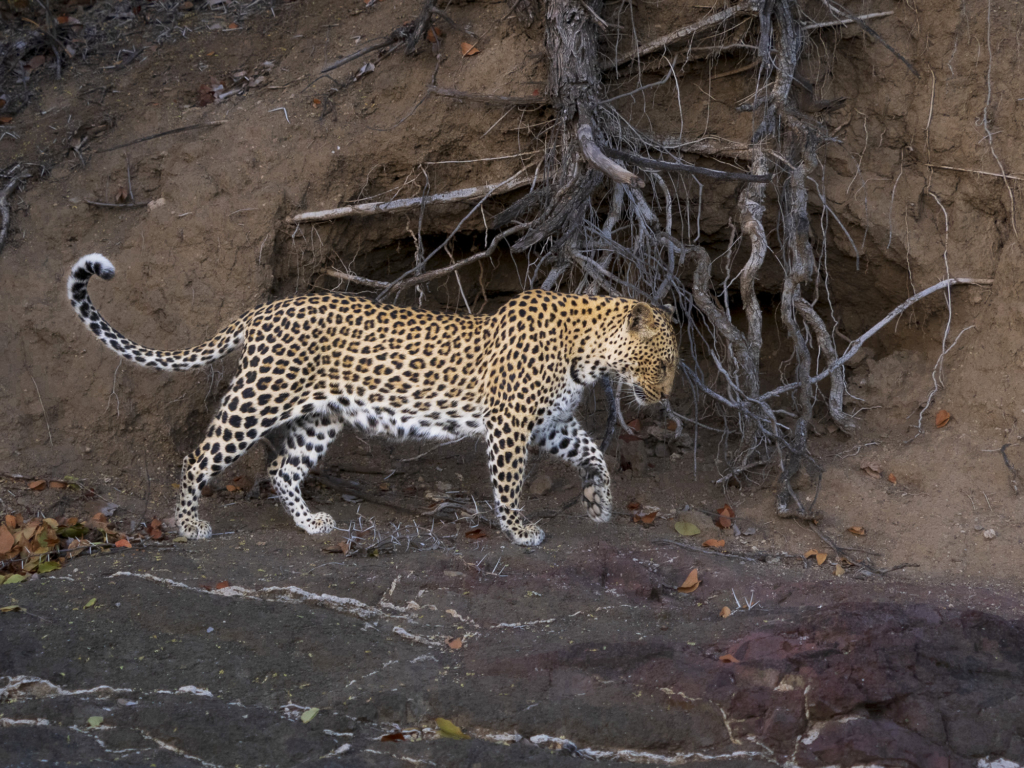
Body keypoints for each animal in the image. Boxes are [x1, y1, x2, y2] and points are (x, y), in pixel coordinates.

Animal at [72, 252, 679, 548]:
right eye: (665, 363)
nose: (666, 398)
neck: (589, 352)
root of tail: (265, 309)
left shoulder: (550, 422)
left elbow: (595, 457)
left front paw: (598, 505)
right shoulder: (510, 423)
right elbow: (509, 482)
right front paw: (520, 529)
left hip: (320, 417)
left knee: (283, 469)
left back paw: (311, 524)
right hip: (259, 399)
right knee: (197, 458)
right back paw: (188, 526)